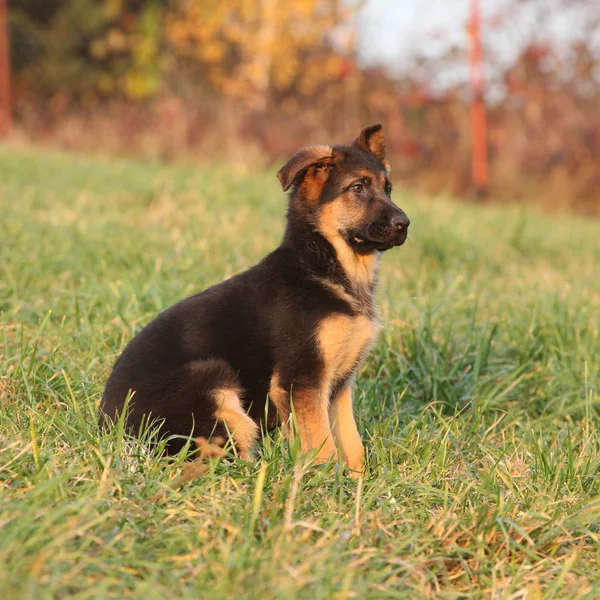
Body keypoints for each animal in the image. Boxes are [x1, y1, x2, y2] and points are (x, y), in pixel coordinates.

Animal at [102, 125, 412, 474]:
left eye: (388, 189)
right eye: (357, 188)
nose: (404, 224)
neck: (324, 266)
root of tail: (109, 431)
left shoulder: (339, 386)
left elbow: (352, 444)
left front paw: (357, 481)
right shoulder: (301, 381)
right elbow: (323, 447)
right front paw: (325, 481)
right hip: (212, 380)